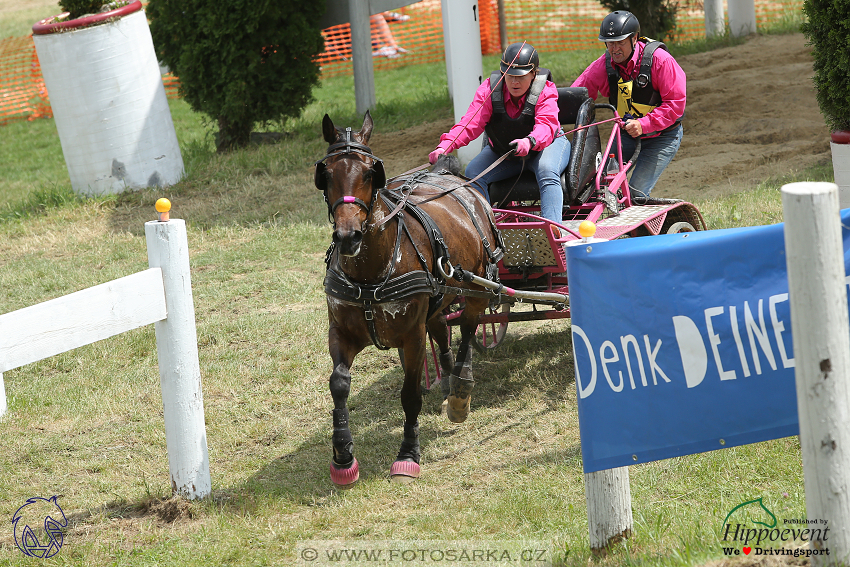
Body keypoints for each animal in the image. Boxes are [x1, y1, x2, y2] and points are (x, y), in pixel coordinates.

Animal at [316, 112, 504, 488]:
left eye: (371, 172)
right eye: (325, 174)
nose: (347, 236)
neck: (371, 272)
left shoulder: (411, 337)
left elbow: (410, 394)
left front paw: (407, 456)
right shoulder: (341, 332)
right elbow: (339, 384)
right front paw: (343, 457)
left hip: (477, 286)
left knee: (468, 330)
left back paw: (459, 391)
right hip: (440, 296)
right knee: (443, 331)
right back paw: (446, 383)